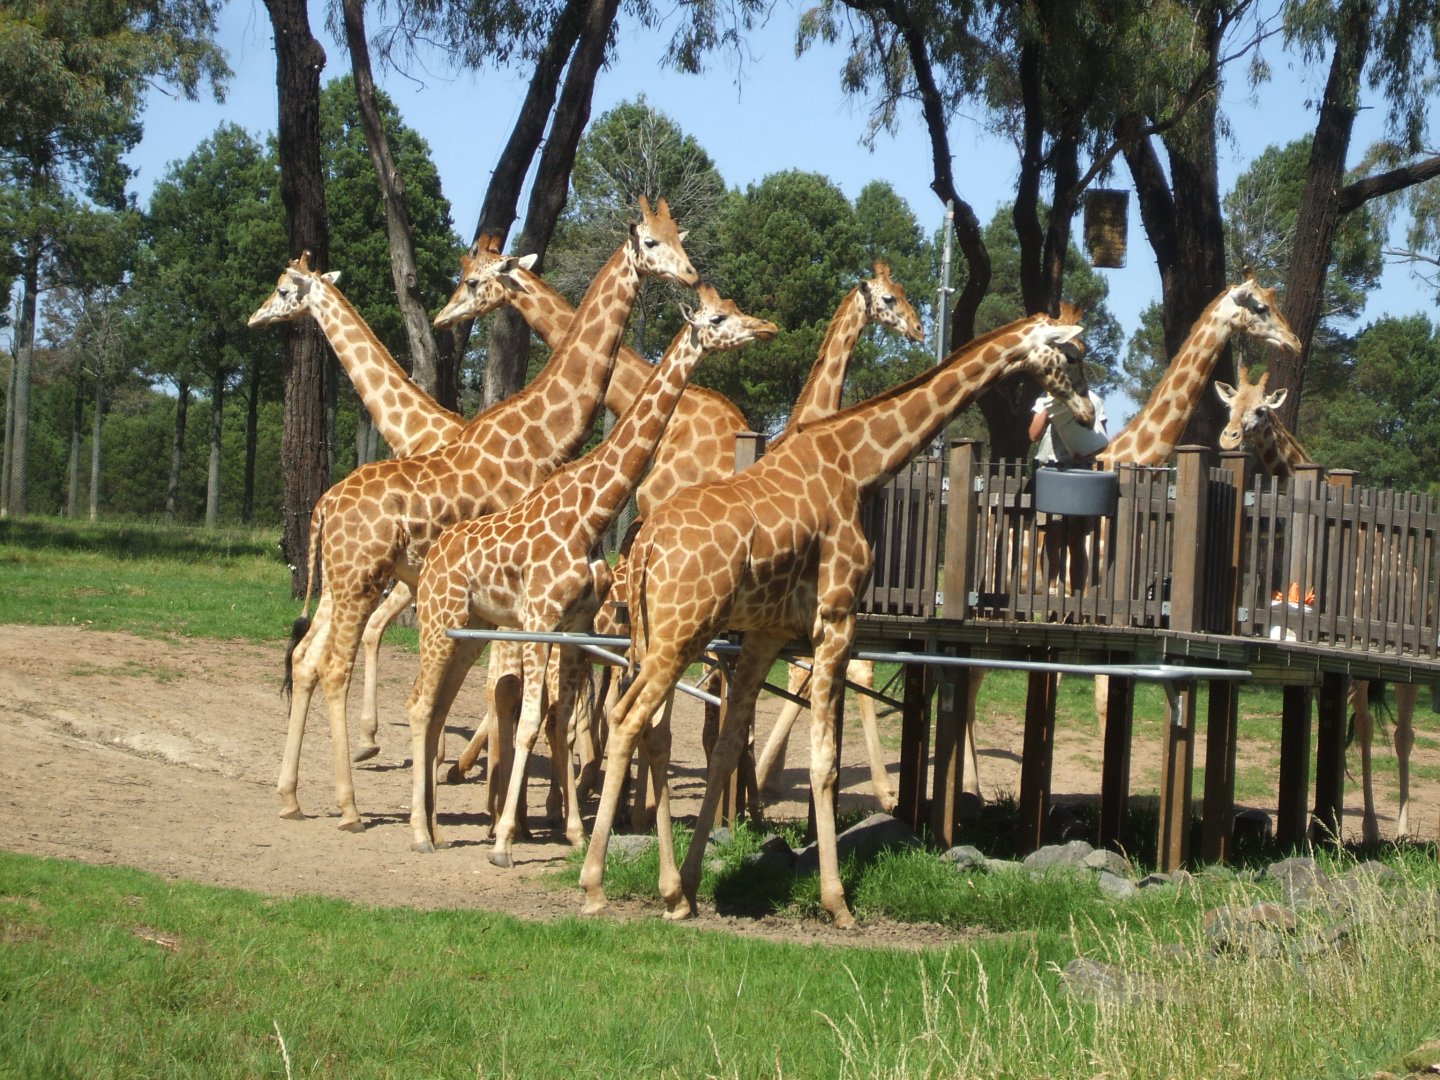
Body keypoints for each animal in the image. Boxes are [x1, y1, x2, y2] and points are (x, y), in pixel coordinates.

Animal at [275, 197, 697, 830]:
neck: (542, 435)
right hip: (357, 582)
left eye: (678, 239)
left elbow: (511, 689)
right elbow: (506, 687)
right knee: (325, 664)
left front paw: (507, 804)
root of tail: (325, 502)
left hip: (356, 583)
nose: (692, 276)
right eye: (650, 242)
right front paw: (506, 808)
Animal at [402, 287, 778, 860]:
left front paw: (574, 833)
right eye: (717, 318)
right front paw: (505, 840)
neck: (592, 512)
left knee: (440, 706)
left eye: (737, 309)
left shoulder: (575, 625)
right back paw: (421, 833)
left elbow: (560, 723)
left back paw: (438, 828)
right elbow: (532, 722)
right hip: (437, 620)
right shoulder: (539, 619)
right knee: (421, 704)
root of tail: (433, 556)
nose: (765, 328)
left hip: (467, 630)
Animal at [578, 312, 1094, 928]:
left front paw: (695, 883)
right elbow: (823, 760)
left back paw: (669, 892)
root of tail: (646, 546)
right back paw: (594, 886)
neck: (856, 463)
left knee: (640, 723)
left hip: (652, 636)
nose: (1089, 413)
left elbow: (729, 747)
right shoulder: (836, 621)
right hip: (681, 635)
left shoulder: (765, 636)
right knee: (627, 719)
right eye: (1075, 355)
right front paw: (838, 901)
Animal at [1215, 365, 1420, 844]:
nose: (1229, 438)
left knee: (1402, 731)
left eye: (1261, 410)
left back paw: (1398, 829)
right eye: (1230, 405)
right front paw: (1317, 824)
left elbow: (1363, 729)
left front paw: (1365, 827)